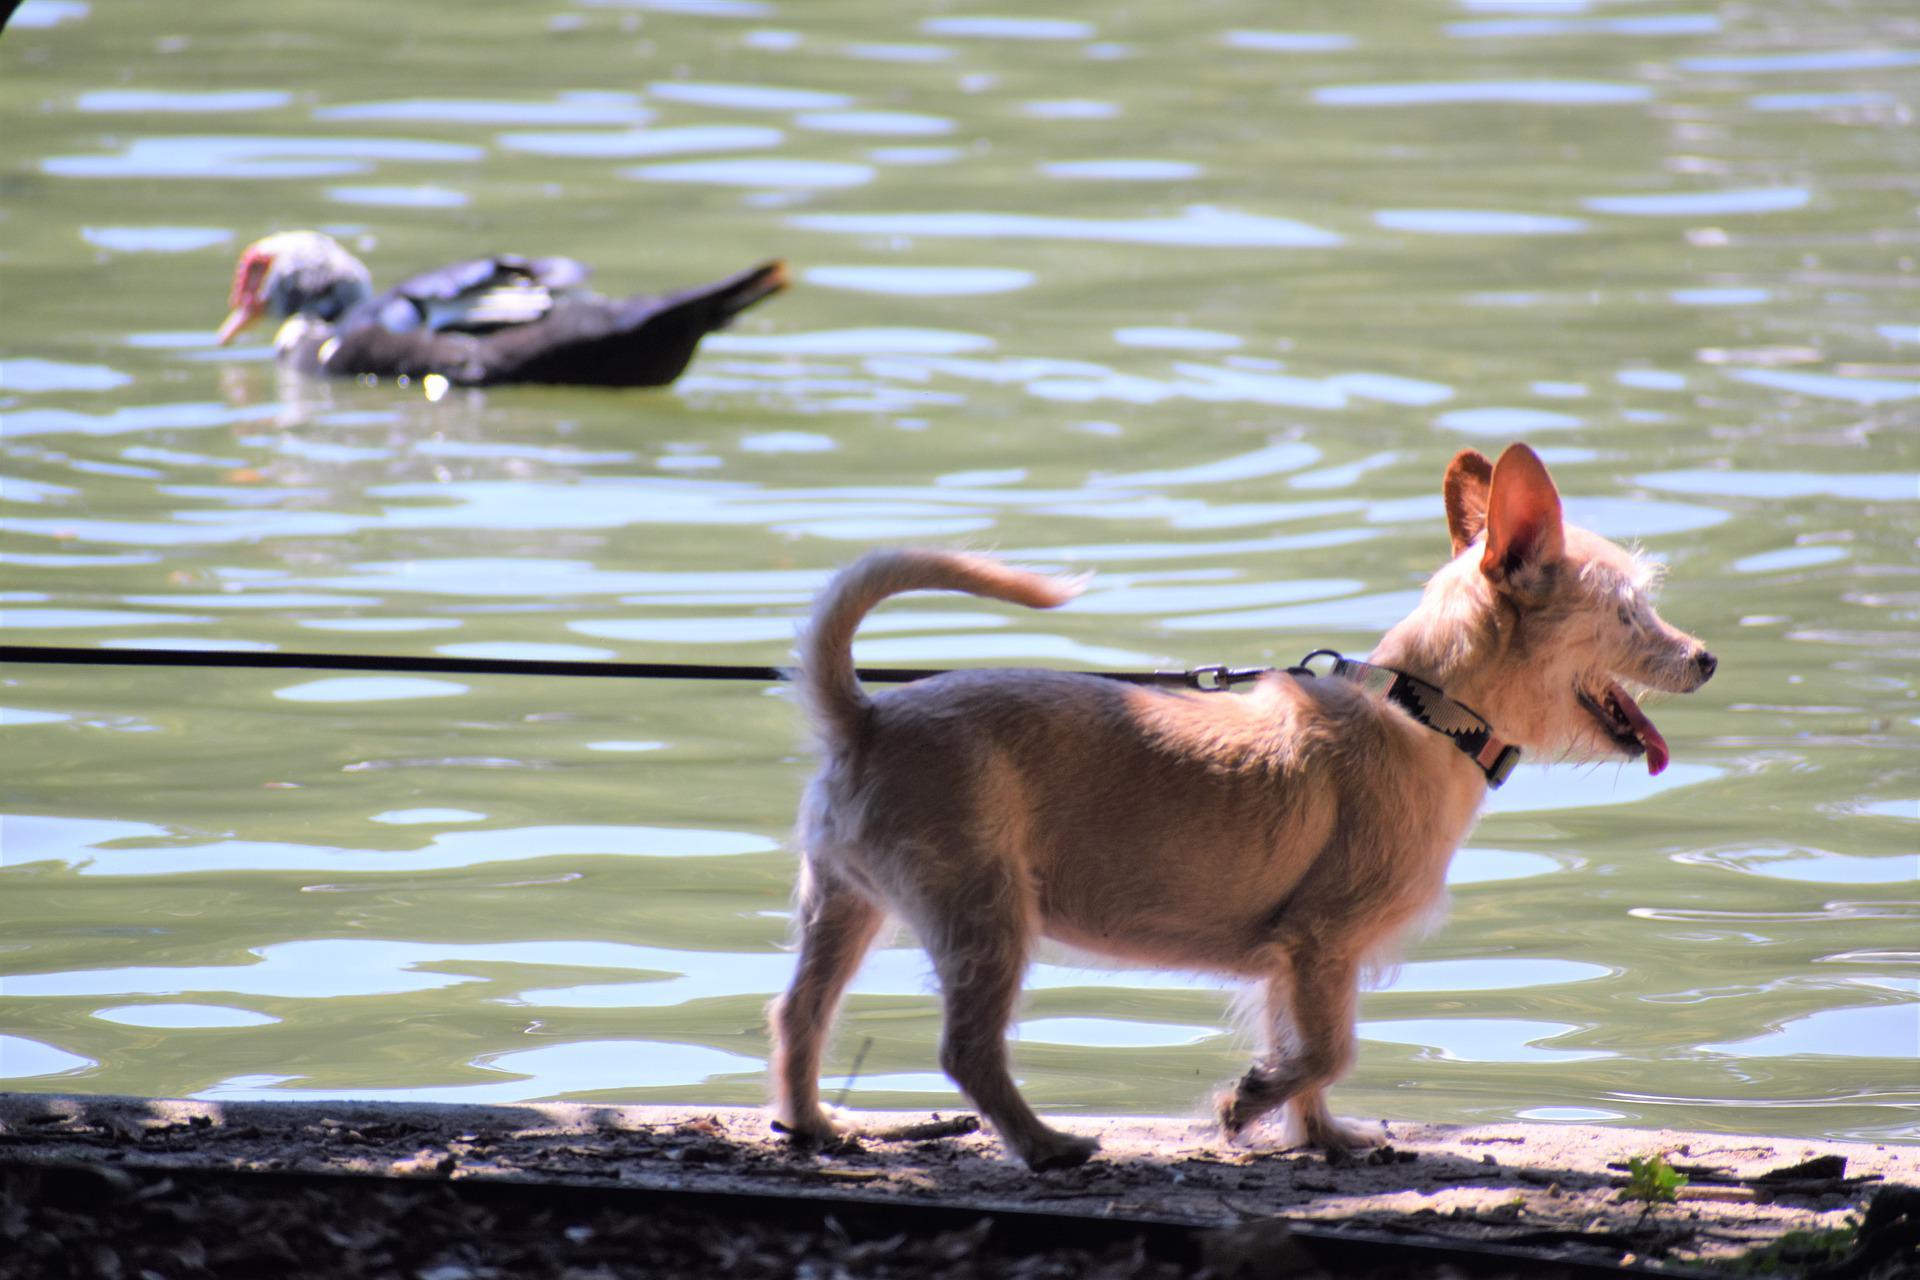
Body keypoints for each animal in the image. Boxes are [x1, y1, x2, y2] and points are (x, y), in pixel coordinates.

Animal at [771, 443, 1720, 1174]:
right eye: (1632, 612)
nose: (1707, 657)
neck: (1425, 715)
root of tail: (865, 716)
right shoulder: (1323, 944)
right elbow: (1329, 1049)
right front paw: (1246, 1102)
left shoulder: (1297, 965)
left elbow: (1311, 1050)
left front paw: (1319, 1136)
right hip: (987, 915)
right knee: (966, 1048)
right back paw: (1045, 1145)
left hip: (844, 904)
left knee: (799, 1015)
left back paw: (813, 1124)